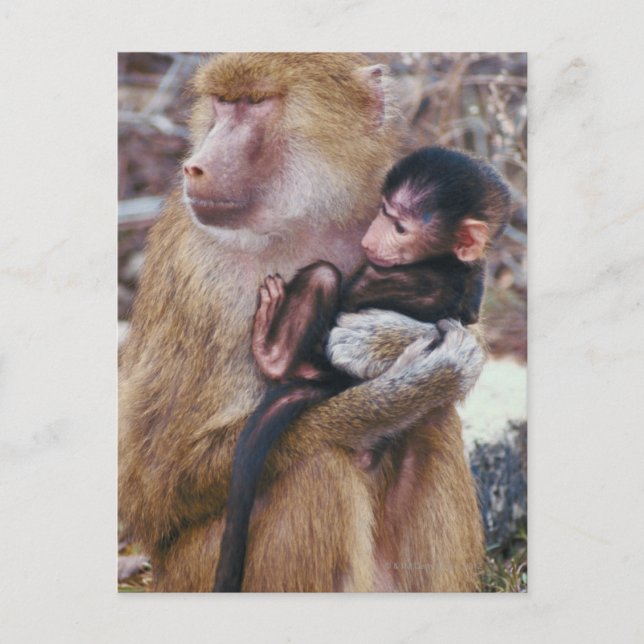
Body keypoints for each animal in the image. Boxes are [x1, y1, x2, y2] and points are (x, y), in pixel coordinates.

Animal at [213, 146, 511, 591]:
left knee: (324, 276)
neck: (446, 263)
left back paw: (274, 354)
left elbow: (355, 295)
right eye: (383, 211)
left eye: (401, 227)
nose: (369, 239)